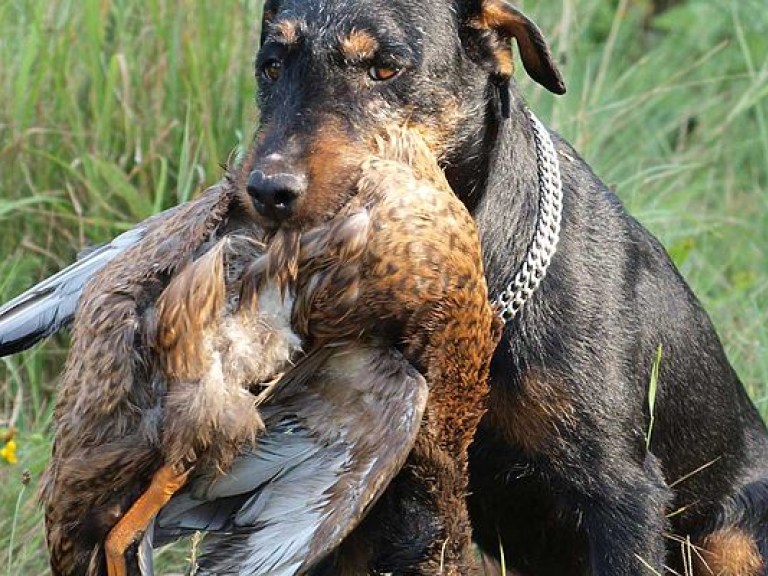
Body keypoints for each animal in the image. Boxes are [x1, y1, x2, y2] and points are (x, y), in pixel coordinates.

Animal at [1, 1, 768, 576]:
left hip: (731, 536)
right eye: (270, 66)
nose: (264, 192)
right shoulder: (395, 503)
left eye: (385, 66)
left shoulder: (622, 496)